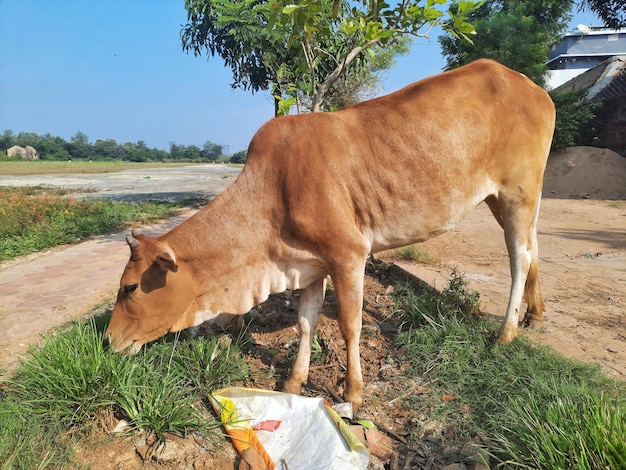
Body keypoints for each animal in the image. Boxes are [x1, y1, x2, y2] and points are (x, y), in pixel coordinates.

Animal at [105, 60, 552, 410]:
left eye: (130, 288)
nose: (108, 342)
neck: (274, 191)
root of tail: (532, 86)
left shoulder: (348, 255)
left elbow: (349, 325)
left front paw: (352, 391)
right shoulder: (310, 264)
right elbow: (306, 323)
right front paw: (293, 381)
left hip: (517, 192)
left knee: (520, 258)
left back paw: (506, 332)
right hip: (507, 199)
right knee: (534, 247)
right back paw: (534, 313)